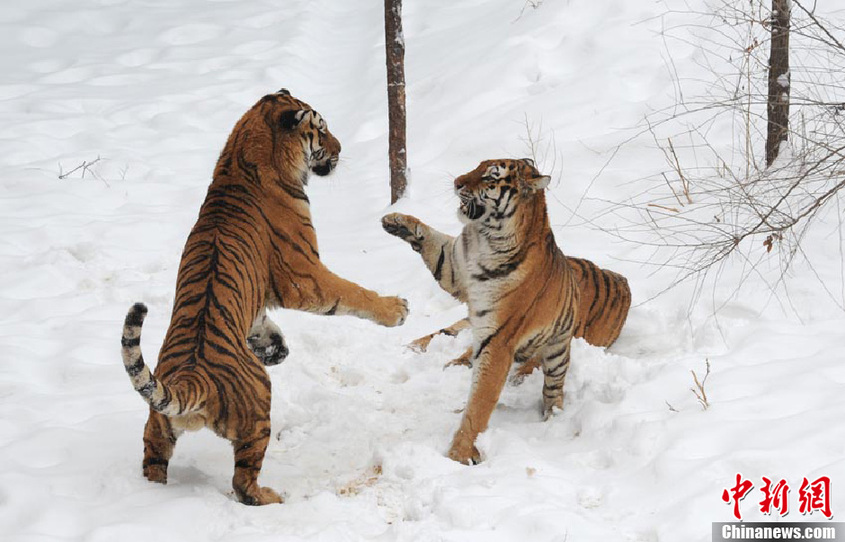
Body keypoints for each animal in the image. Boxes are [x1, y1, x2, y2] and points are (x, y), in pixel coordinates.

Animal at [120, 88, 408, 506]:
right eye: (322, 130)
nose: (340, 148)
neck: (239, 158)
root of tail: (193, 377)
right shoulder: (305, 277)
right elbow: (352, 292)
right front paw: (397, 309)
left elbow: (263, 324)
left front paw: (274, 349)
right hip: (259, 406)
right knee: (243, 483)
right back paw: (273, 496)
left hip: (158, 424)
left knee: (153, 455)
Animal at [380, 159, 628, 466]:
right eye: (477, 166)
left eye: (490, 177)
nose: (457, 182)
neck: (484, 238)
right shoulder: (454, 266)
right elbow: (433, 241)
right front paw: (396, 221)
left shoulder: (499, 339)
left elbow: (480, 402)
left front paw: (458, 454)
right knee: (444, 335)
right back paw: (416, 350)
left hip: (557, 349)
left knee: (552, 386)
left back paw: (552, 416)